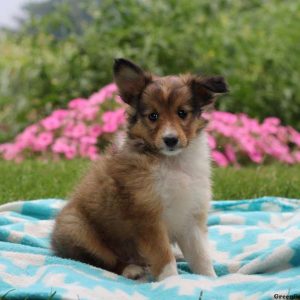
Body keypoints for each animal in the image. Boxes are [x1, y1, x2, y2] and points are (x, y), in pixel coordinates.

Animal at [51, 58, 229, 282]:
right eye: (153, 116)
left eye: (182, 113)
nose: (170, 140)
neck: (172, 163)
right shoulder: (148, 218)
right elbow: (164, 258)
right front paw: (172, 283)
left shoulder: (191, 216)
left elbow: (201, 257)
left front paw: (211, 280)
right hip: (76, 227)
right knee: (102, 260)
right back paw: (131, 269)